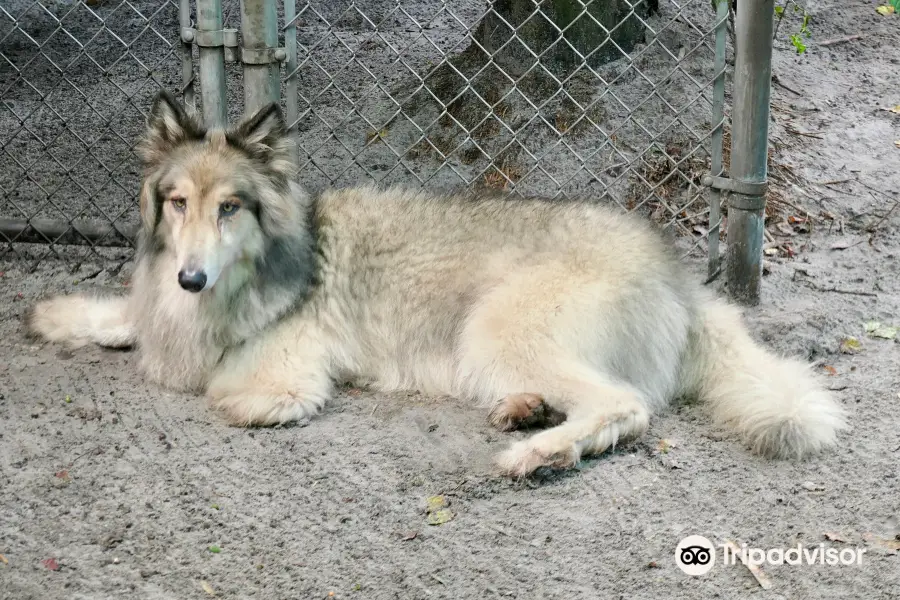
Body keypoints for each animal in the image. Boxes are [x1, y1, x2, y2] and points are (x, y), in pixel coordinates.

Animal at [22, 91, 852, 476]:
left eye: (230, 207)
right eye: (178, 203)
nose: (192, 277)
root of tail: (681, 277)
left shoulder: (274, 375)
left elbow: (226, 385)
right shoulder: (164, 302)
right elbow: (126, 316)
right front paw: (62, 315)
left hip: (493, 329)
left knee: (628, 407)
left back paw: (539, 453)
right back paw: (525, 413)